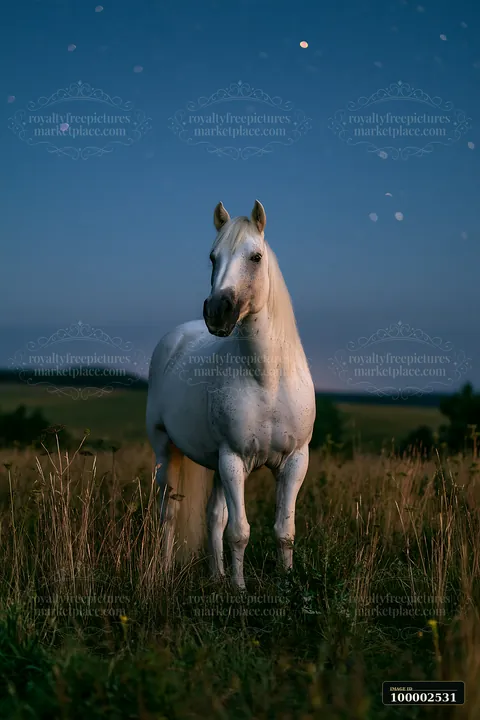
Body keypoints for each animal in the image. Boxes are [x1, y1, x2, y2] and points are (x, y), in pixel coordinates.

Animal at [146, 200, 316, 588]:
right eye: (212, 257)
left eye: (255, 257)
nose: (216, 311)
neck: (269, 380)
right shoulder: (234, 459)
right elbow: (239, 531)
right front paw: (239, 589)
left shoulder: (295, 461)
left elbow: (284, 531)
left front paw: (285, 583)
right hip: (167, 449)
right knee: (169, 511)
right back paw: (164, 570)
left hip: (216, 465)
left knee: (213, 516)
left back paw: (216, 575)